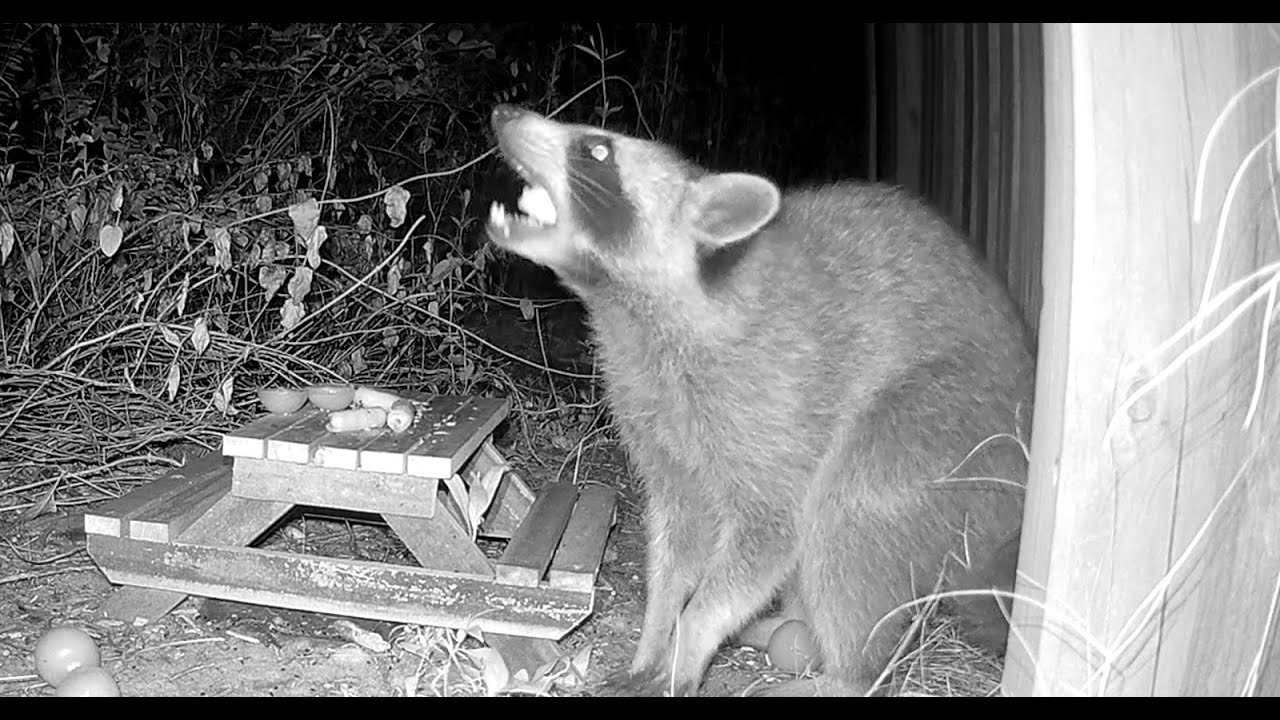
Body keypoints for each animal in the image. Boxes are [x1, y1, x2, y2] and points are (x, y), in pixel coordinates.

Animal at [486, 104, 1034, 696]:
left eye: (596, 150)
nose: (504, 112)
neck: (625, 307)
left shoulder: (774, 398)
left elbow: (771, 532)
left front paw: (691, 637)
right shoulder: (649, 407)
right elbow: (676, 536)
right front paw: (655, 634)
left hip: (949, 429)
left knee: (847, 512)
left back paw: (847, 672)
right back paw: (789, 626)